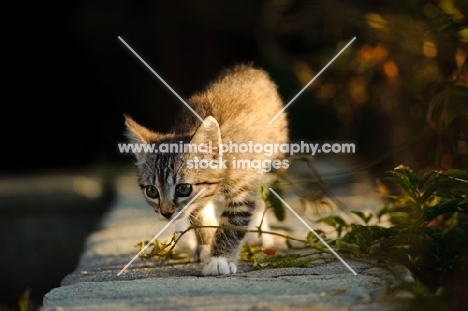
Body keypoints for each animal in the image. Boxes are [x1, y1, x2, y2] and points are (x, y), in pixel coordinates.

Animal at [126, 64, 290, 276]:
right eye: (151, 191)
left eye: (183, 189)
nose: (166, 213)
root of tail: (247, 67)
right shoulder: (198, 198)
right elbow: (199, 215)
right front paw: (207, 244)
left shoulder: (242, 185)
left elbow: (233, 221)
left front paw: (219, 259)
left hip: (272, 160)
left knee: (262, 195)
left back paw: (259, 233)